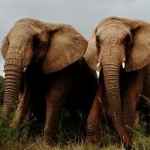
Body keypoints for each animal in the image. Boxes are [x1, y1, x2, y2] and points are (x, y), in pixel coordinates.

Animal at [1, 17, 97, 145]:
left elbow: (54, 96)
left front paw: (47, 145)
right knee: (77, 114)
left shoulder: (65, 68)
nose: (5, 124)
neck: (47, 25)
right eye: (7, 41)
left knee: (84, 111)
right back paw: (78, 142)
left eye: (36, 41)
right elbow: (28, 97)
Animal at [84, 16, 150, 149]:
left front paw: (122, 146)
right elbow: (102, 99)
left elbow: (129, 101)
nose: (132, 145)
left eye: (128, 39)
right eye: (97, 40)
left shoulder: (138, 67)